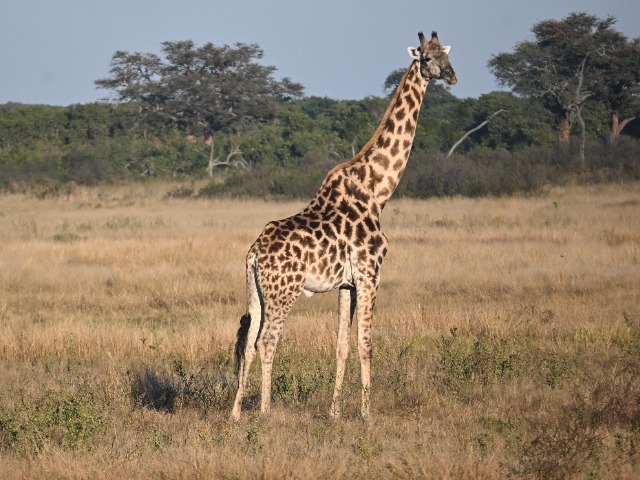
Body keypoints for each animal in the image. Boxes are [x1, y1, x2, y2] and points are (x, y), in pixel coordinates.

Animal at [231, 31, 456, 420]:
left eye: (446, 53)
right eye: (427, 58)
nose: (452, 76)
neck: (378, 190)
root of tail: (254, 253)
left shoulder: (346, 284)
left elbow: (342, 345)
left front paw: (335, 412)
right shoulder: (370, 273)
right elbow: (366, 343)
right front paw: (367, 413)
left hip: (256, 292)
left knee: (247, 340)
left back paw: (235, 412)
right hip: (284, 292)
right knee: (267, 340)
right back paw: (264, 411)